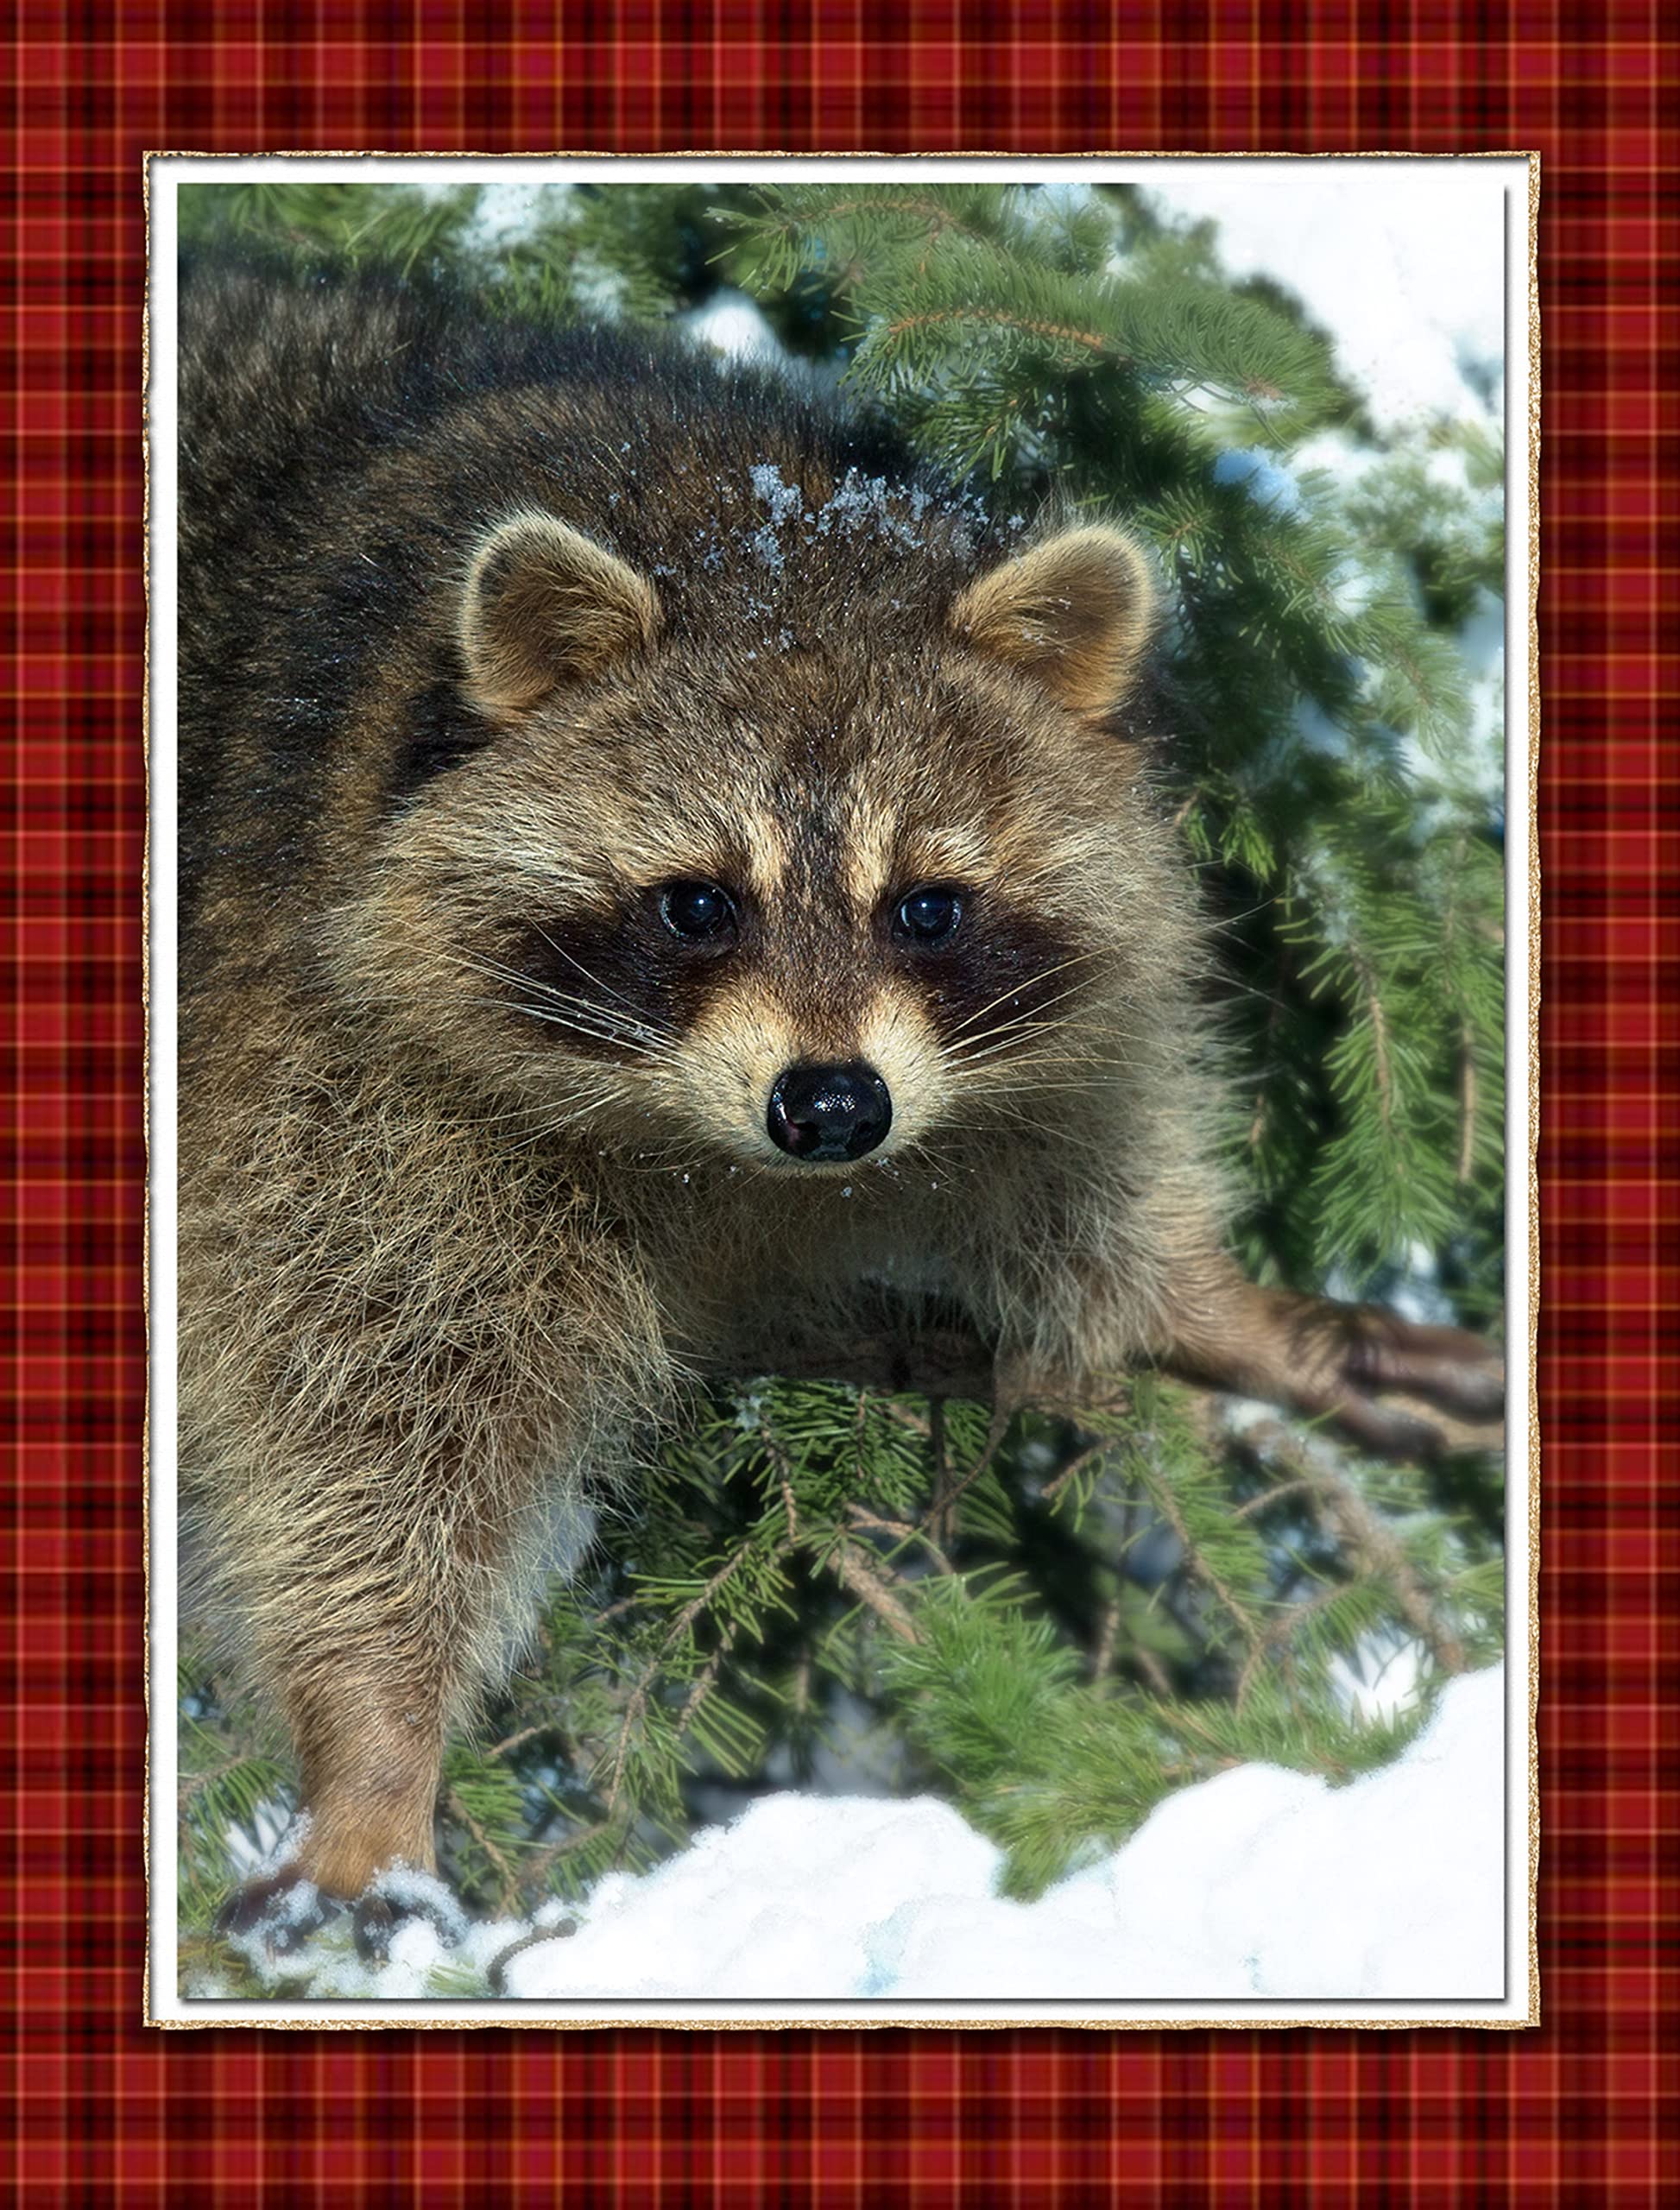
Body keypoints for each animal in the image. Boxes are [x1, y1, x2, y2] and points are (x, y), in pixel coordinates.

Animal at [177, 261, 1502, 1948]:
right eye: (695, 905)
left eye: (926, 909)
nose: (829, 1109)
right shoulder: (327, 1064)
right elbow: (364, 1423)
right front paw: (372, 1745)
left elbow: (1081, 1159)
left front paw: (1208, 1302)